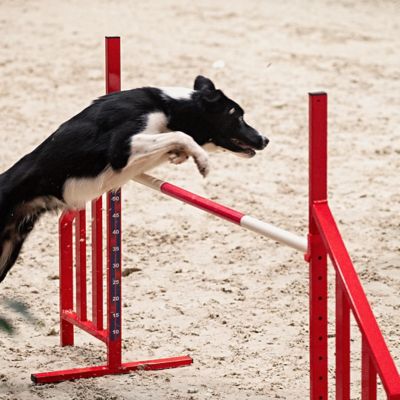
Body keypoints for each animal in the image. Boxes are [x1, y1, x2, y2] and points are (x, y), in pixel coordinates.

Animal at [0, 75, 268, 282]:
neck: (170, 108)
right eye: (238, 117)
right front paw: (201, 160)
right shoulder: (121, 147)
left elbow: (174, 141)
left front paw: (180, 155)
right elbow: (180, 135)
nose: (265, 139)